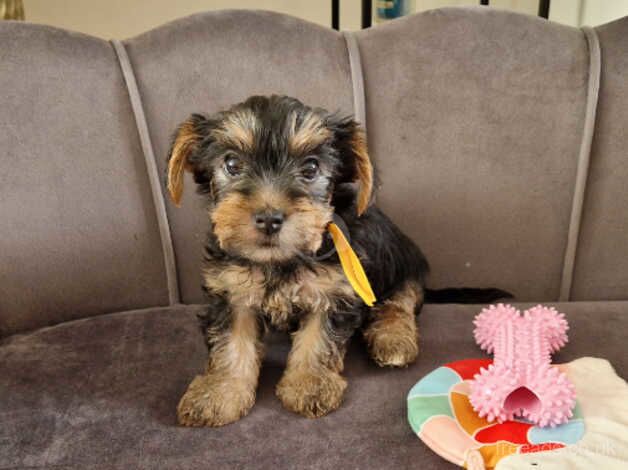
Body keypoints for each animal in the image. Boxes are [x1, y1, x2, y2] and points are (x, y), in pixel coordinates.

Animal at [166, 94, 506, 426]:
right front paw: (218, 393)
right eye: (232, 163)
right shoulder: (231, 291)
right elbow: (230, 342)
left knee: (400, 302)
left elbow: (318, 338)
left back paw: (392, 339)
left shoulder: (333, 291)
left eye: (311, 168)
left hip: (400, 266)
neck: (282, 260)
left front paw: (309, 384)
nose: (269, 219)